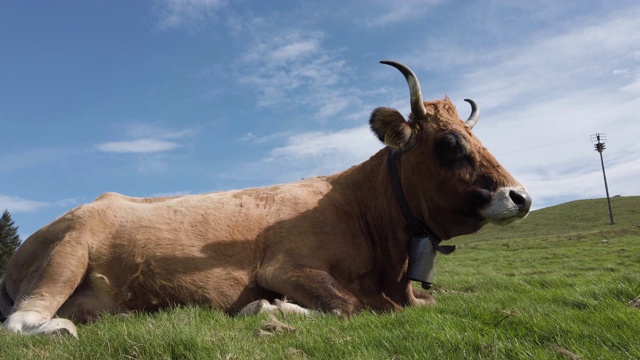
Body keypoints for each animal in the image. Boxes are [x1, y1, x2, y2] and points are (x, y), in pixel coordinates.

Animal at [1, 59, 528, 338]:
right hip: (67, 253)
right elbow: (346, 306)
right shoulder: (284, 267)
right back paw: (58, 328)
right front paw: (269, 310)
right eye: (449, 144)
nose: (519, 196)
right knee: (19, 320)